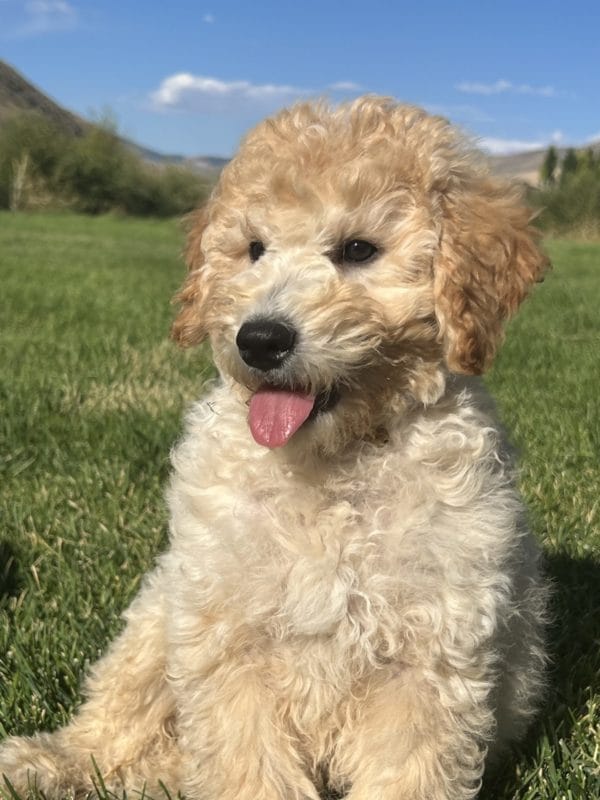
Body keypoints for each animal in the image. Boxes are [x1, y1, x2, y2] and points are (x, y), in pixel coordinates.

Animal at [1, 98, 548, 800]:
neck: (331, 464)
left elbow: (408, 766)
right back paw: (44, 762)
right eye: (254, 250)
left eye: (359, 249)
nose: (259, 339)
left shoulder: (429, 654)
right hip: (158, 618)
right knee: (112, 726)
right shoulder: (230, 638)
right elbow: (246, 764)